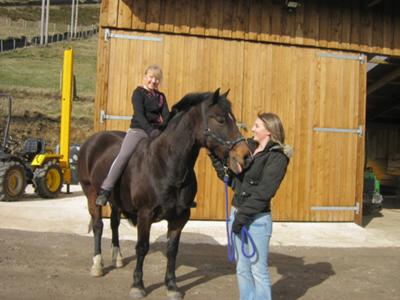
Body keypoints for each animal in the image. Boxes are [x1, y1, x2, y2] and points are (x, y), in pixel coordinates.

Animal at [77, 88, 250, 298]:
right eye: (220, 119)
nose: (245, 155)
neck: (166, 165)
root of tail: (92, 141)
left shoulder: (179, 217)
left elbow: (172, 250)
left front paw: (172, 286)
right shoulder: (145, 214)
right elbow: (142, 247)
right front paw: (138, 285)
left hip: (116, 201)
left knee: (114, 224)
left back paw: (117, 258)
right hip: (91, 195)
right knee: (98, 226)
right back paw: (97, 265)